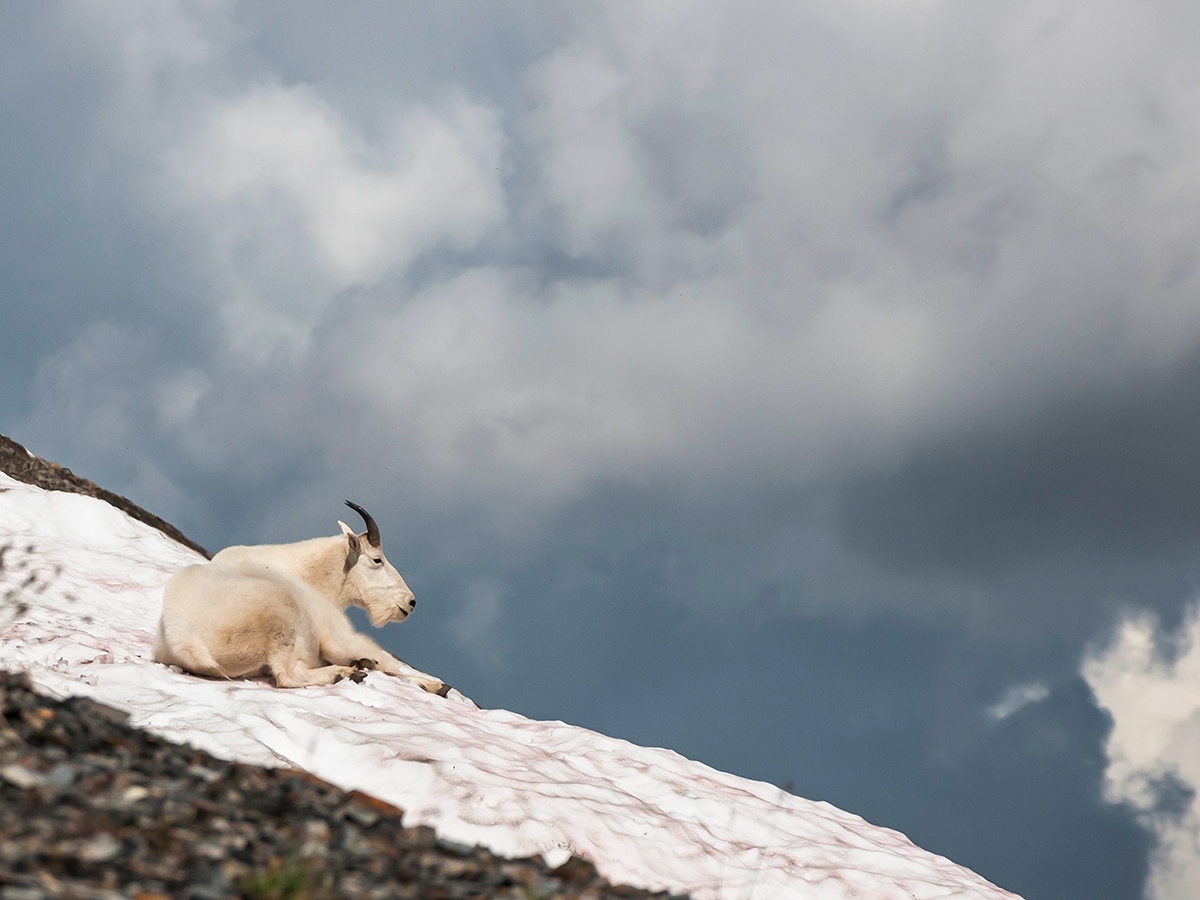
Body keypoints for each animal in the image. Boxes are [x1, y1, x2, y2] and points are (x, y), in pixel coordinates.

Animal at [152, 504, 448, 696]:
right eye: (377, 560)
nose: (410, 602)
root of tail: (185, 638)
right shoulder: (337, 637)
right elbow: (386, 661)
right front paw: (435, 685)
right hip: (282, 619)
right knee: (287, 676)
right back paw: (347, 672)